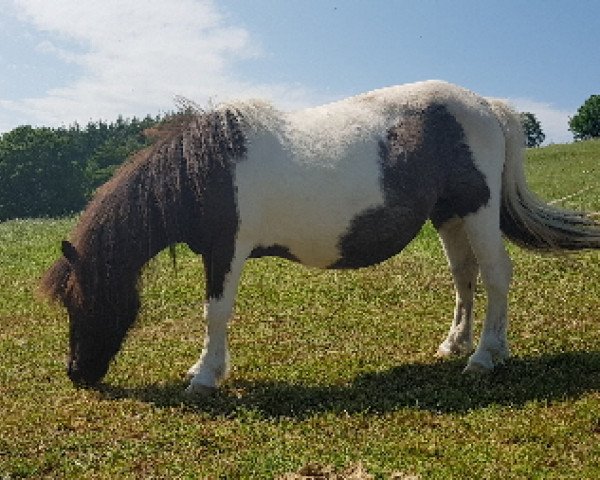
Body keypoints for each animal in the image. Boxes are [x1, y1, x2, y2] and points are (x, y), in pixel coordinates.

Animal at [41, 79, 600, 394]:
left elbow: (215, 312)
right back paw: (454, 345)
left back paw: (486, 356)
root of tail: (487, 105)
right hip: (449, 218)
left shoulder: (227, 250)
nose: (75, 373)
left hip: (477, 210)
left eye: (81, 302)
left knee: (497, 275)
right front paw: (202, 368)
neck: (204, 171)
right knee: (465, 277)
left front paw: (205, 378)